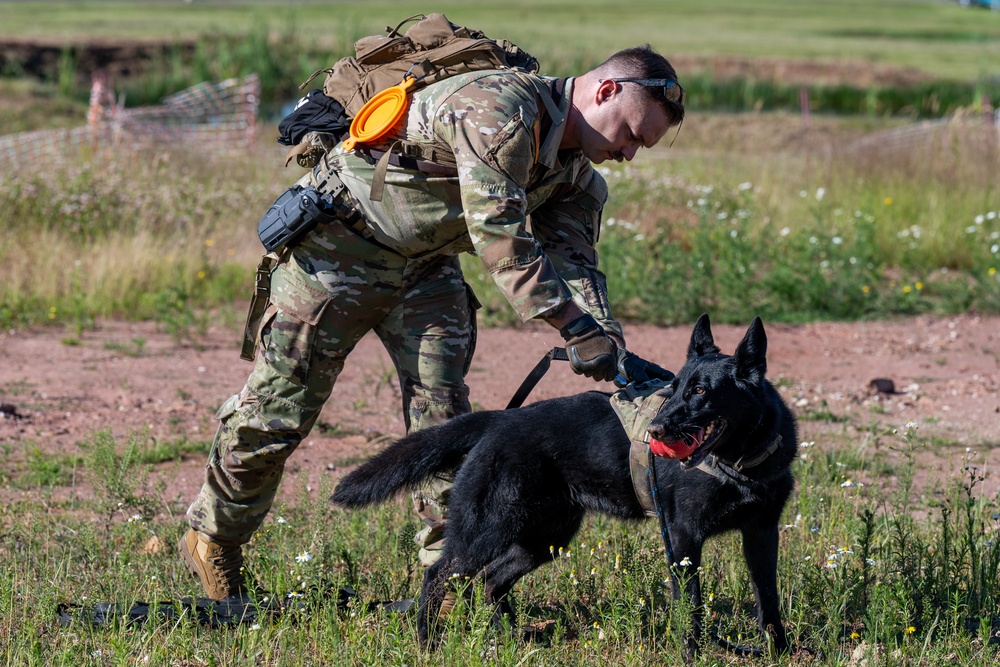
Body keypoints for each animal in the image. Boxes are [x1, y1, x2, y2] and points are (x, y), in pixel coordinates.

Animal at [334, 316, 796, 656]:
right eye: (676, 388)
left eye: (700, 390)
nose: (656, 430)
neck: (742, 462)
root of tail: (498, 420)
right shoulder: (683, 540)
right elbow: (691, 608)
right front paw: (691, 657)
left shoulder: (761, 534)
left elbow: (768, 598)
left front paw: (780, 652)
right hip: (487, 531)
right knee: (439, 575)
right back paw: (428, 644)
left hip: (543, 538)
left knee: (490, 582)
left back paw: (510, 640)